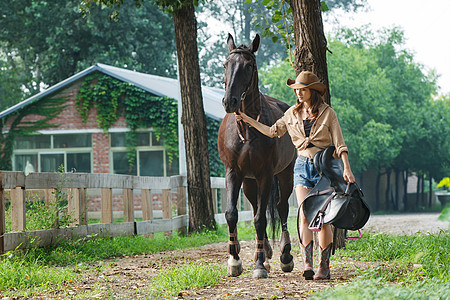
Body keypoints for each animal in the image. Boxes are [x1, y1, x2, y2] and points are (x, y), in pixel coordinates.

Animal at [219, 33, 298, 278]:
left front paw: (260, 265)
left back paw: (284, 255)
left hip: (285, 174)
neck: (247, 128)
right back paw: (263, 251)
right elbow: (232, 214)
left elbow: (262, 219)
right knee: (255, 207)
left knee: (281, 208)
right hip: (249, 182)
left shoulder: (265, 174)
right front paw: (234, 260)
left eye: (249, 66)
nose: (230, 101)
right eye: (226, 64)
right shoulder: (233, 173)